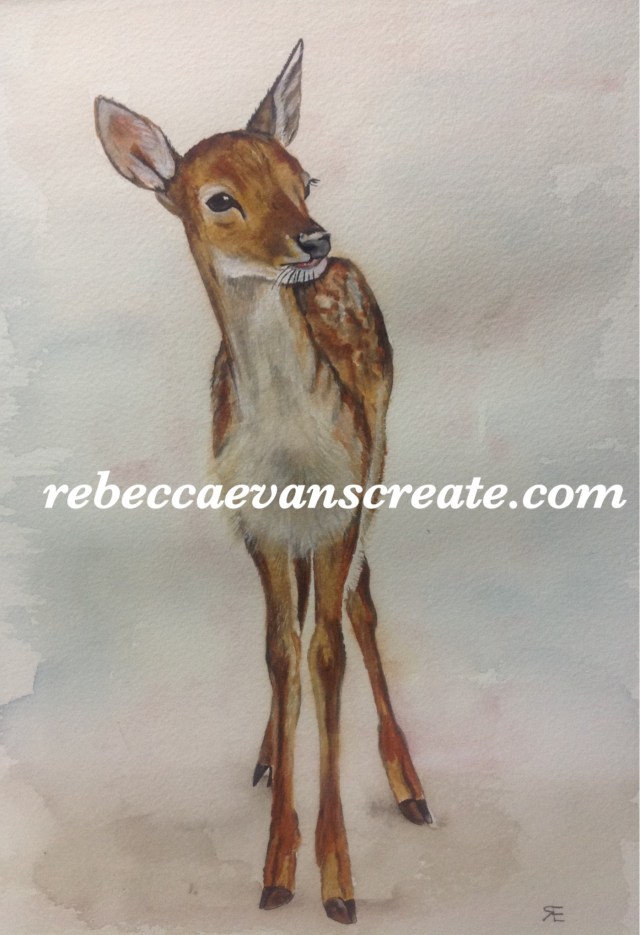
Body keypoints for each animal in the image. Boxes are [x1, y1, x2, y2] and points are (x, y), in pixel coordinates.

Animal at [95, 39, 432, 925]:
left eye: (302, 177)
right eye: (219, 198)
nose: (312, 239)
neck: (289, 451)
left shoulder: (340, 505)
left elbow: (326, 653)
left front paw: (337, 883)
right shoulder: (256, 524)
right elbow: (280, 653)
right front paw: (278, 868)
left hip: (378, 462)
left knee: (359, 604)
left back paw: (411, 786)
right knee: (309, 619)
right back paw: (268, 759)